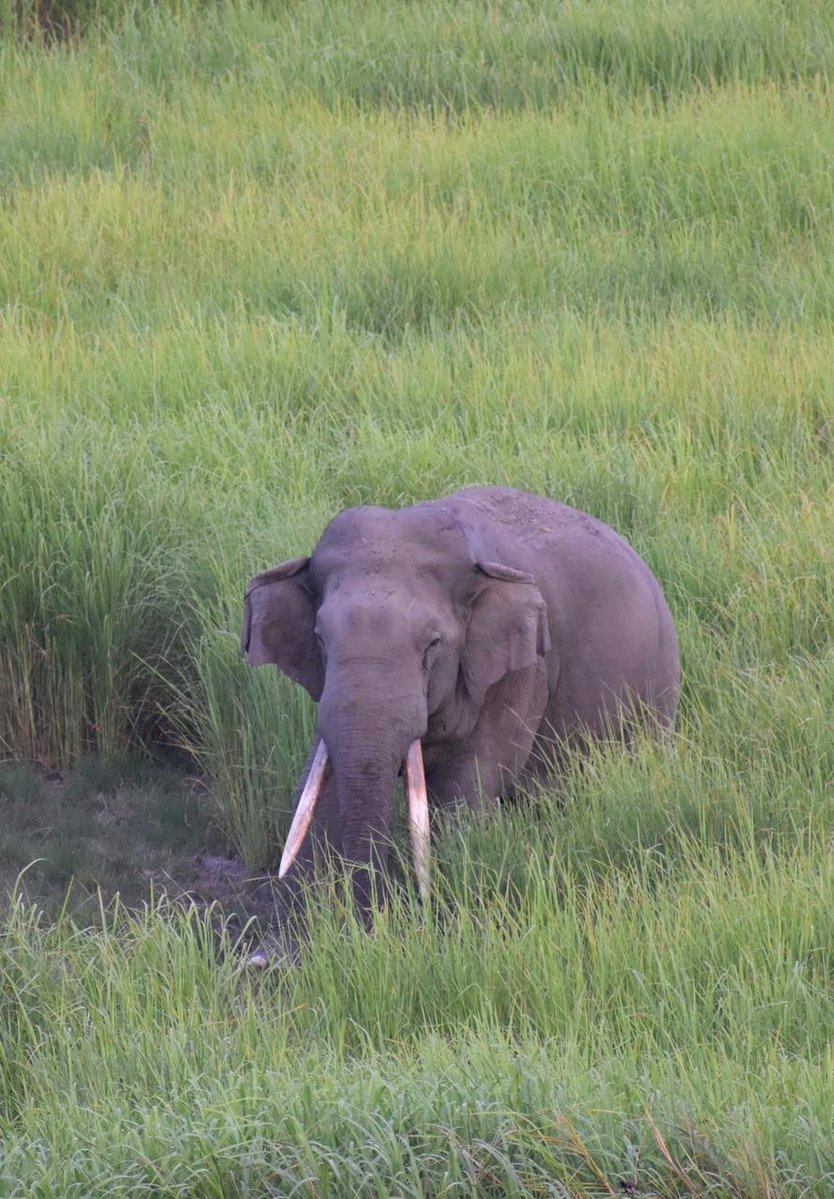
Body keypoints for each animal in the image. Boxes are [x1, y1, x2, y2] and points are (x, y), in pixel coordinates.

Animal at [241, 486, 679, 914]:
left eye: (433, 644)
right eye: (319, 637)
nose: (375, 912)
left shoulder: (522, 669)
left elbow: (465, 789)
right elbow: (319, 787)